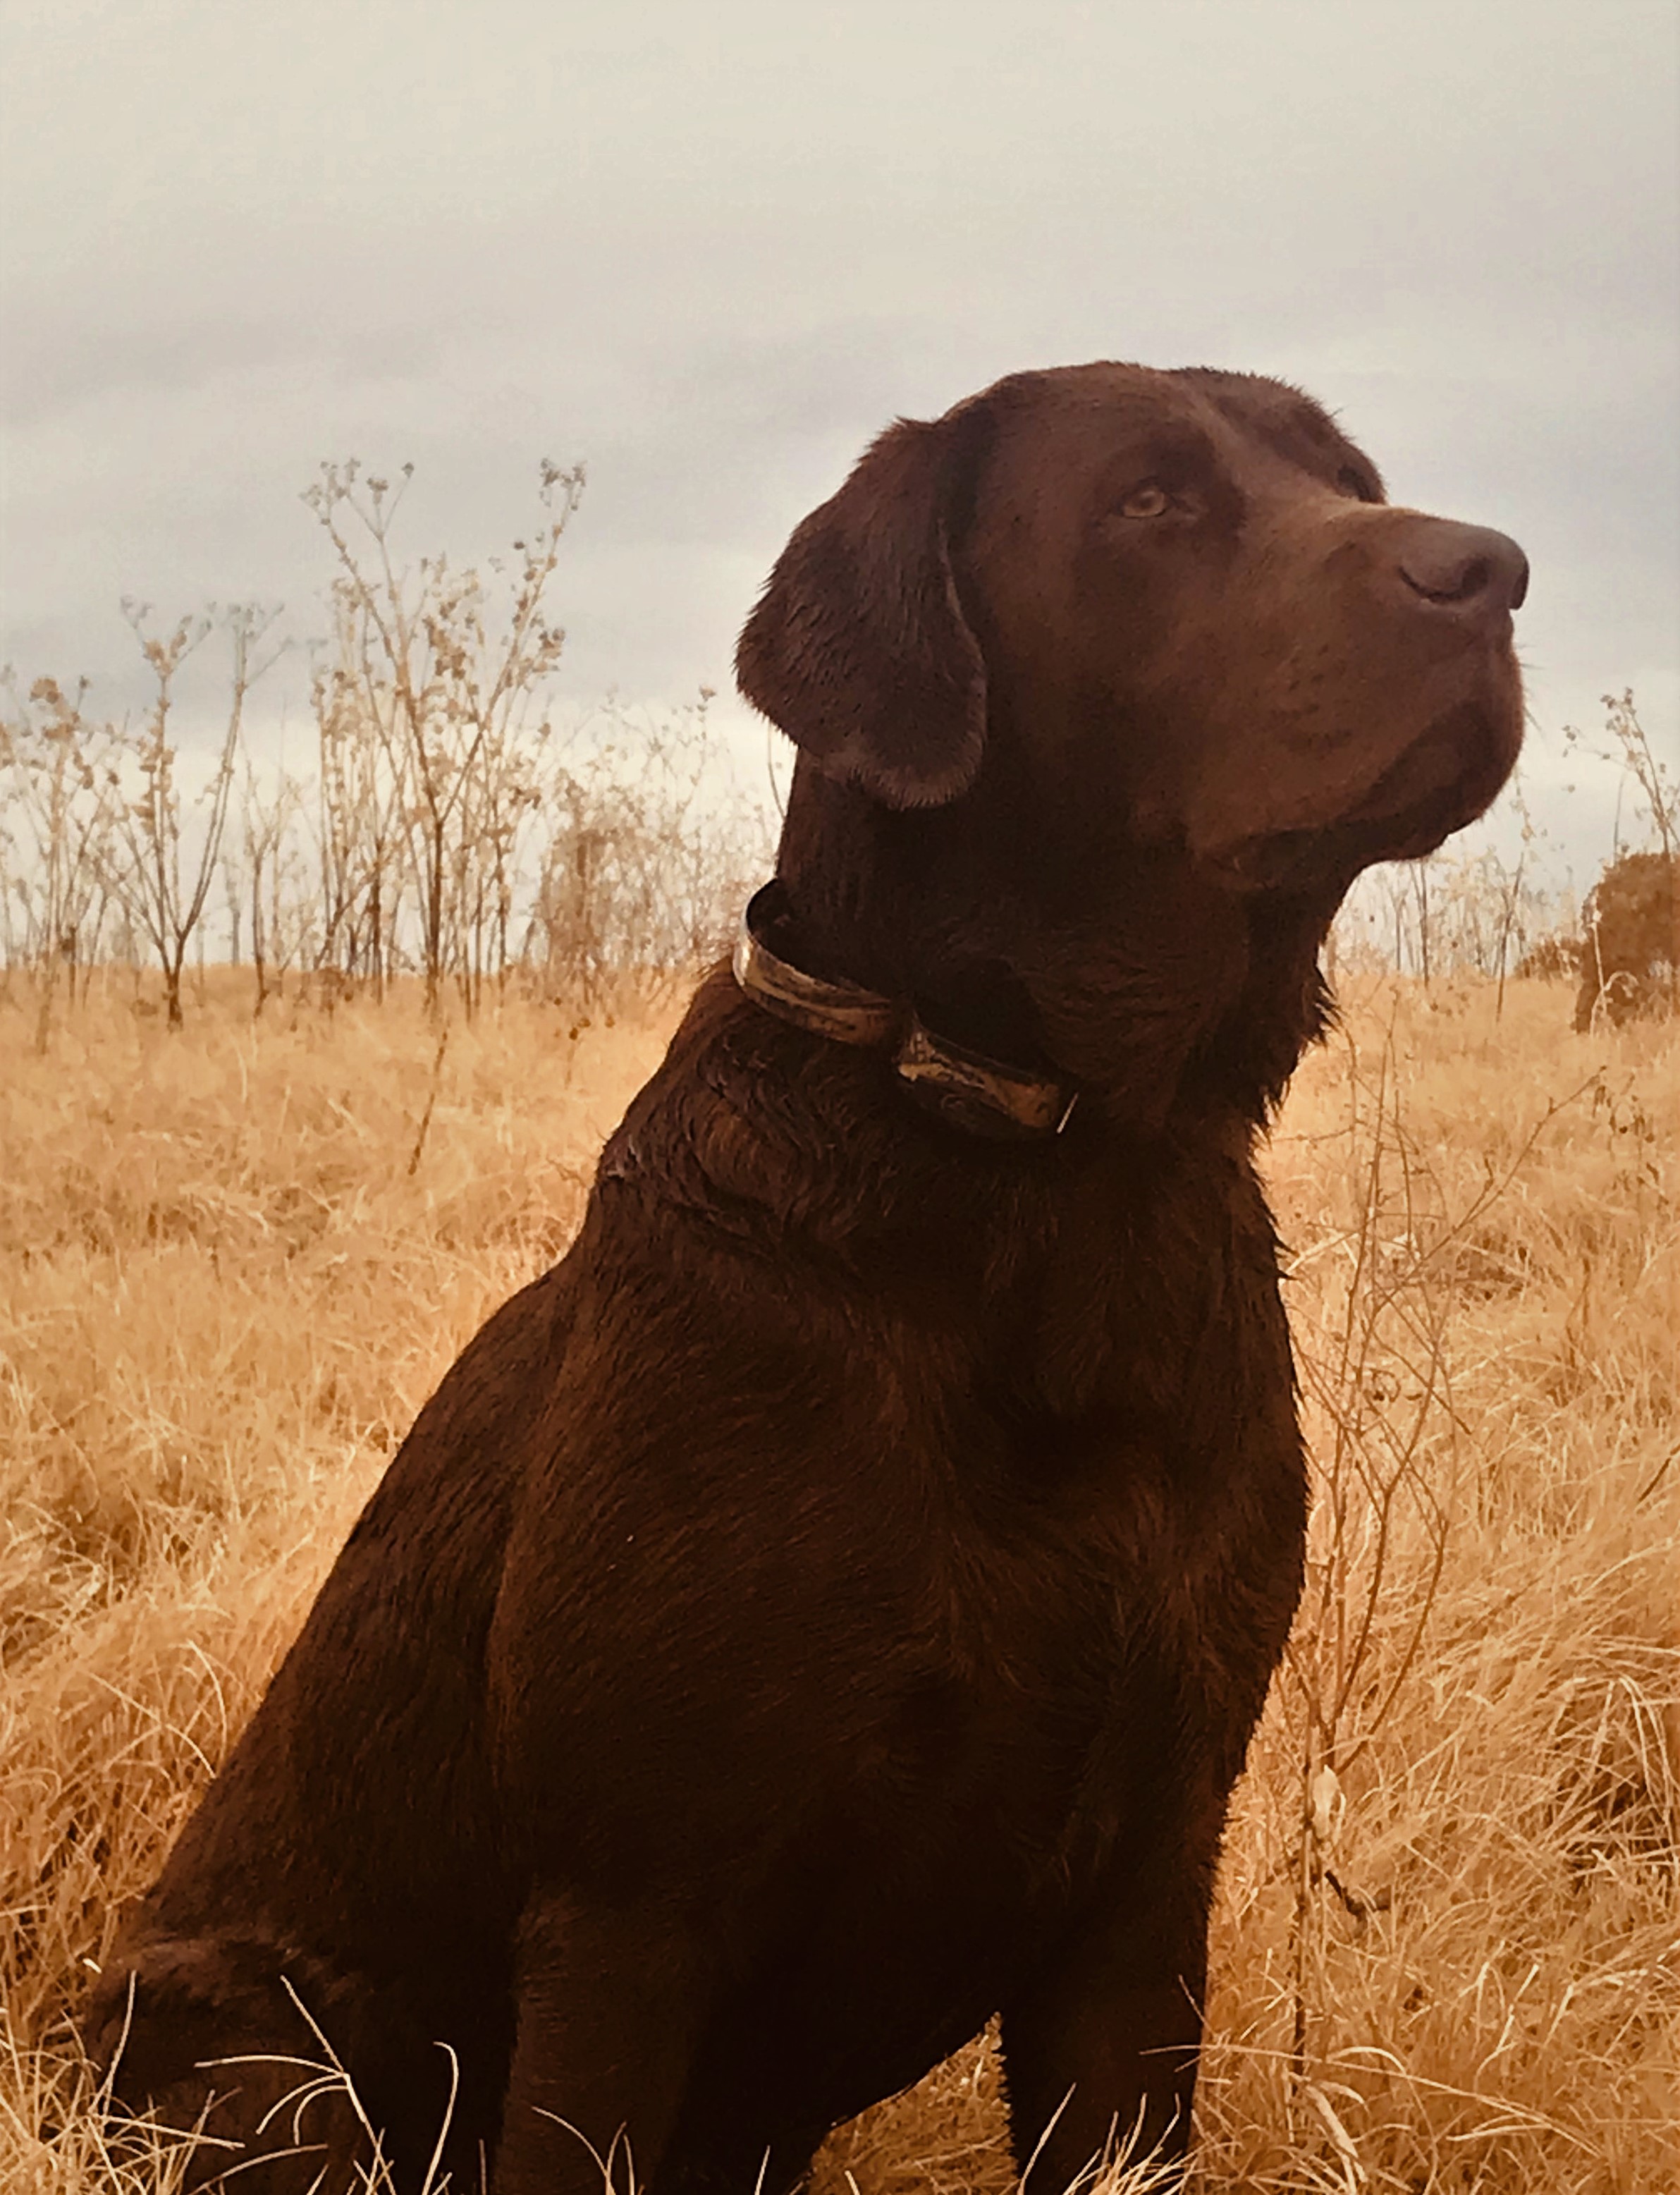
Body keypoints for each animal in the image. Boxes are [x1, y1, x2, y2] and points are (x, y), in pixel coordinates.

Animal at [94, 364, 1537, 2195]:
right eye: (1148, 502)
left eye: (1349, 479)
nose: (1487, 569)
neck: (1042, 1169)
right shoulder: (628, 1905)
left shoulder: (1147, 1893)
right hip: (272, 2060)